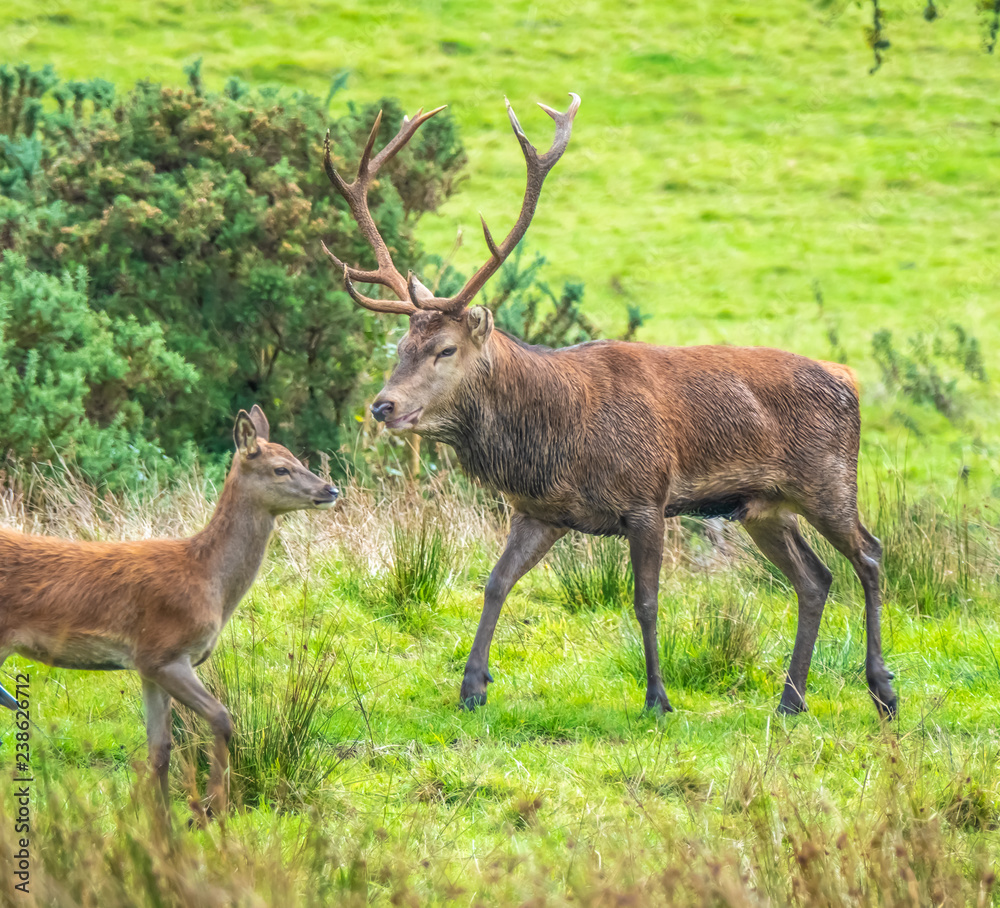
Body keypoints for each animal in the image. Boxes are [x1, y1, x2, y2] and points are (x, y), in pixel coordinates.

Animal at [0, 406, 338, 816]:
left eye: (298, 460)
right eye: (280, 469)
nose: (330, 490)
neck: (207, 578)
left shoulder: (146, 665)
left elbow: (160, 750)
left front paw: (164, 823)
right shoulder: (165, 651)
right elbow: (222, 718)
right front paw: (210, 810)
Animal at [320, 94, 896, 720]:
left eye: (444, 349)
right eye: (402, 345)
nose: (383, 406)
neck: (558, 438)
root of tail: (848, 378)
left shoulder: (647, 498)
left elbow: (646, 601)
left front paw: (658, 699)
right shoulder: (539, 511)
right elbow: (495, 581)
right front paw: (473, 687)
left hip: (829, 479)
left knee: (869, 554)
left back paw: (882, 689)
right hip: (763, 506)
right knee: (815, 578)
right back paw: (791, 700)